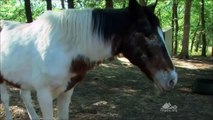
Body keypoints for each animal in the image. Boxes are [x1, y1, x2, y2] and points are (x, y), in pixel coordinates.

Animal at [0, 0, 177, 119]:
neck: (63, 48)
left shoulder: (66, 92)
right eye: (148, 34)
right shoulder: (44, 95)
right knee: (6, 101)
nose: (172, 79)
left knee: (24, 97)